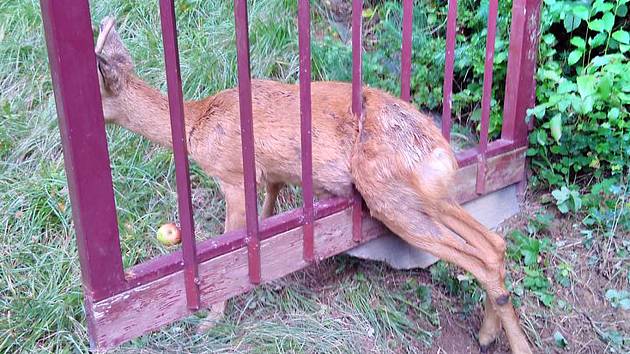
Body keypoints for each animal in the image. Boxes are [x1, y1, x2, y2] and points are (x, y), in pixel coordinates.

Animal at [96, 15, 536, 352]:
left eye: (99, 95)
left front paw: (210, 320)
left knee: (477, 255)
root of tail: (442, 153)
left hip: (390, 199)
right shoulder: (272, 177)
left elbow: (229, 247)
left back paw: (512, 341)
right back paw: (489, 333)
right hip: (429, 196)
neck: (196, 124)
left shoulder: (234, 176)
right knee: (493, 245)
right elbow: (265, 220)